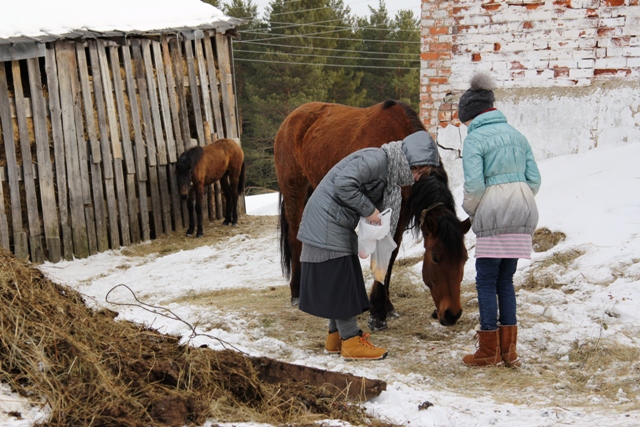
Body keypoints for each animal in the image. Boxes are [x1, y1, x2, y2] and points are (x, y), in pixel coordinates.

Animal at [274, 100, 471, 330]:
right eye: (436, 258)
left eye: (465, 258)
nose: (452, 314)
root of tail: (291, 118)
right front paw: (377, 313)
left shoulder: (401, 213)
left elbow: (391, 254)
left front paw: (386, 306)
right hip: (295, 192)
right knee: (295, 239)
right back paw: (296, 293)